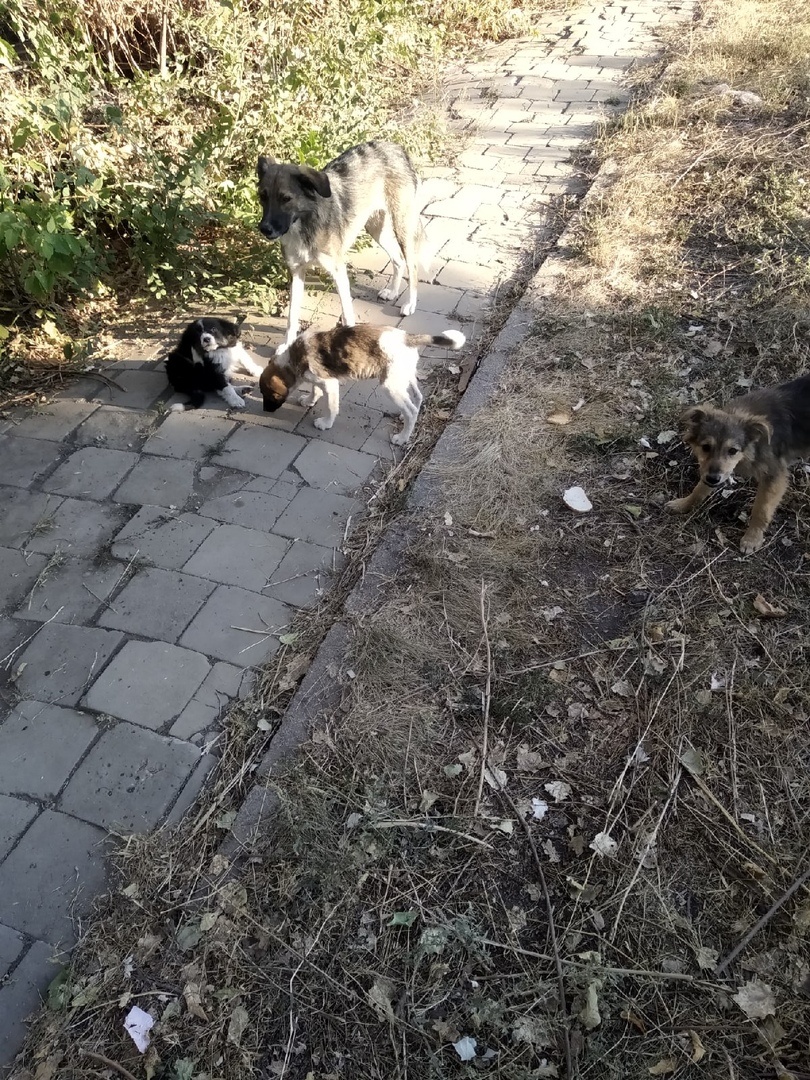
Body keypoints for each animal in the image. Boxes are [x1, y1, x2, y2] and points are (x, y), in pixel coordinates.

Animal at [256, 140, 428, 353]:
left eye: (286, 199)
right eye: (262, 196)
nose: (264, 228)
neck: (304, 223)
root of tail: (394, 146)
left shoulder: (338, 271)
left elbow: (347, 315)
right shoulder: (296, 273)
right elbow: (291, 316)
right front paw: (288, 344)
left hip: (402, 224)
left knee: (411, 264)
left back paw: (410, 304)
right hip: (375, 227)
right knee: (397, 259)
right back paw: (393, 292)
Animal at [259, 324, 465, 445]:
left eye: (271, 395)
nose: (266, 411)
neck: (292, 358)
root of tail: (407, 337)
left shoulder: (330, 383)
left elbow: (331, 406)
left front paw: (326, 423)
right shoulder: (316, 379)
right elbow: (315, 389)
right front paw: (309, 400)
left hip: (390, 385)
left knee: (411, 410)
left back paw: (402, 437)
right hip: (404, 377)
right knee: (417, 397)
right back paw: (404, 418)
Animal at [666, 374, 810, 553]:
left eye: (733, 450)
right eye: (705, 447)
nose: (713, 479)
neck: (754, 444)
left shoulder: (774, 475)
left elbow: (761, 509)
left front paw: (752, 538)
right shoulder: (712, 471)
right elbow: (699, 489)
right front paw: (683, 504)